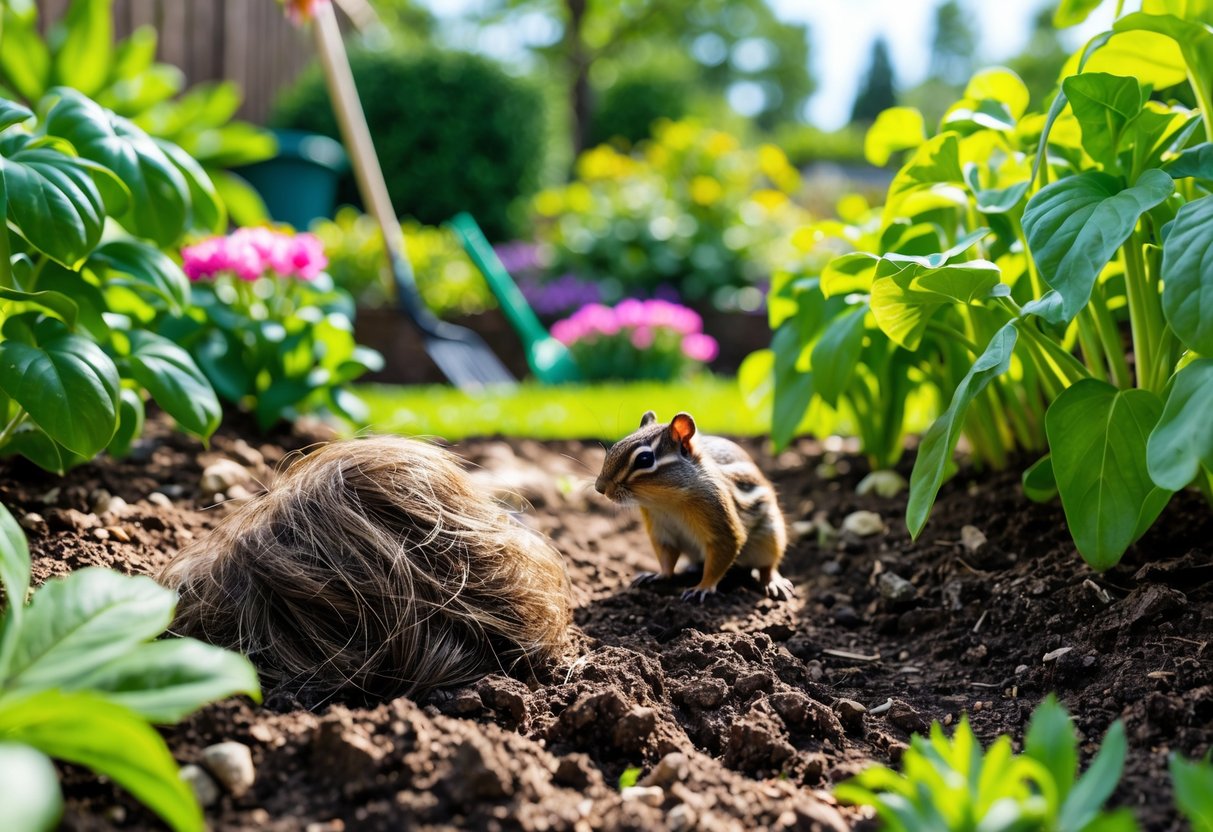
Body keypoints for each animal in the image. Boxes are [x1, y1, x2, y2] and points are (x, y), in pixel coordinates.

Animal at [594, 410, 793, 602]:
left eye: (644, 459)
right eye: (614, 447)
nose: (599, 488)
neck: (665, 502)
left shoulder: (721, 524)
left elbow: (721, 554)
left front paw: (702, 587)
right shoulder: (660, 530)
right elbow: (666, 557)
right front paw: (657, 575)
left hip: (771, 535)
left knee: (768, 566)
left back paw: (773, 582)